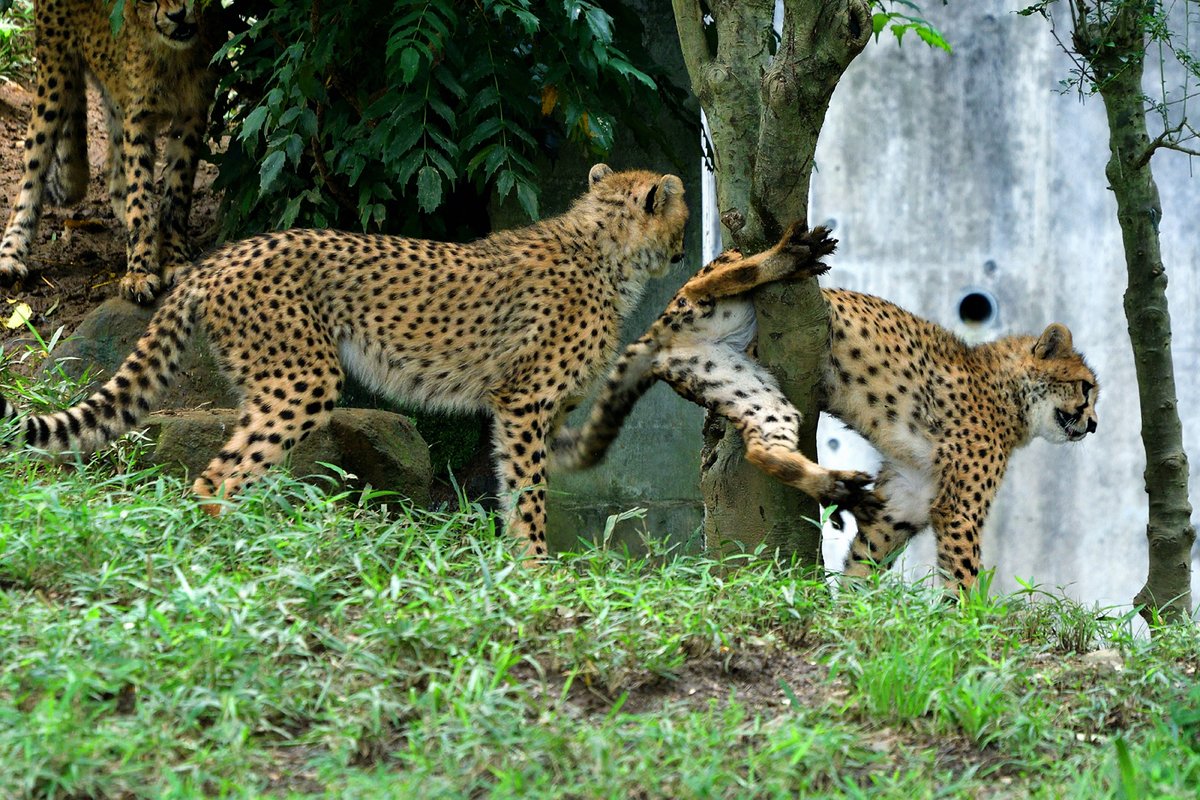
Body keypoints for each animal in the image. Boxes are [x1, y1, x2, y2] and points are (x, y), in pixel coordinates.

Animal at [0, 0, 221, 304]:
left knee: (115, 176)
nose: (177, 15)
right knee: (34, 165)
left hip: (112, 92)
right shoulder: (138, 117)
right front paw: (139, 272)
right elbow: (139, 192)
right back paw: (11, 254)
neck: (173, 56)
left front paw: (174, 257)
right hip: (55, 73)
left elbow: (177, 193)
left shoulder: (191, 114)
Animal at [0, 163, 690, 561]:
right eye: (681, 219)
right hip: (303, 376)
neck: (605, 249)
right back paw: (238, 554)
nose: (685, 252)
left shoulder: (524, 406)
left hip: (268, 380)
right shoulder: (524, 401)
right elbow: (528, 491)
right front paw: (537, 569)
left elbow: (519, 477)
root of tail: (216, 258)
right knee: (217, 476)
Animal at [550, 222, 1099, 591]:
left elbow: (866, 557)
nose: (1093, 425)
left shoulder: (908, 499)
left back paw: (833, 485)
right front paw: (967, 635)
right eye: (1086, 387)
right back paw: (783, 257)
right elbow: (962, 577)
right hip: (716, 295)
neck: (1009, 392)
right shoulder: (959, 508)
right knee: (707, 281)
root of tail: (661, 334)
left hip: (748, 387)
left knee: (762, 450)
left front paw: (851, 610)